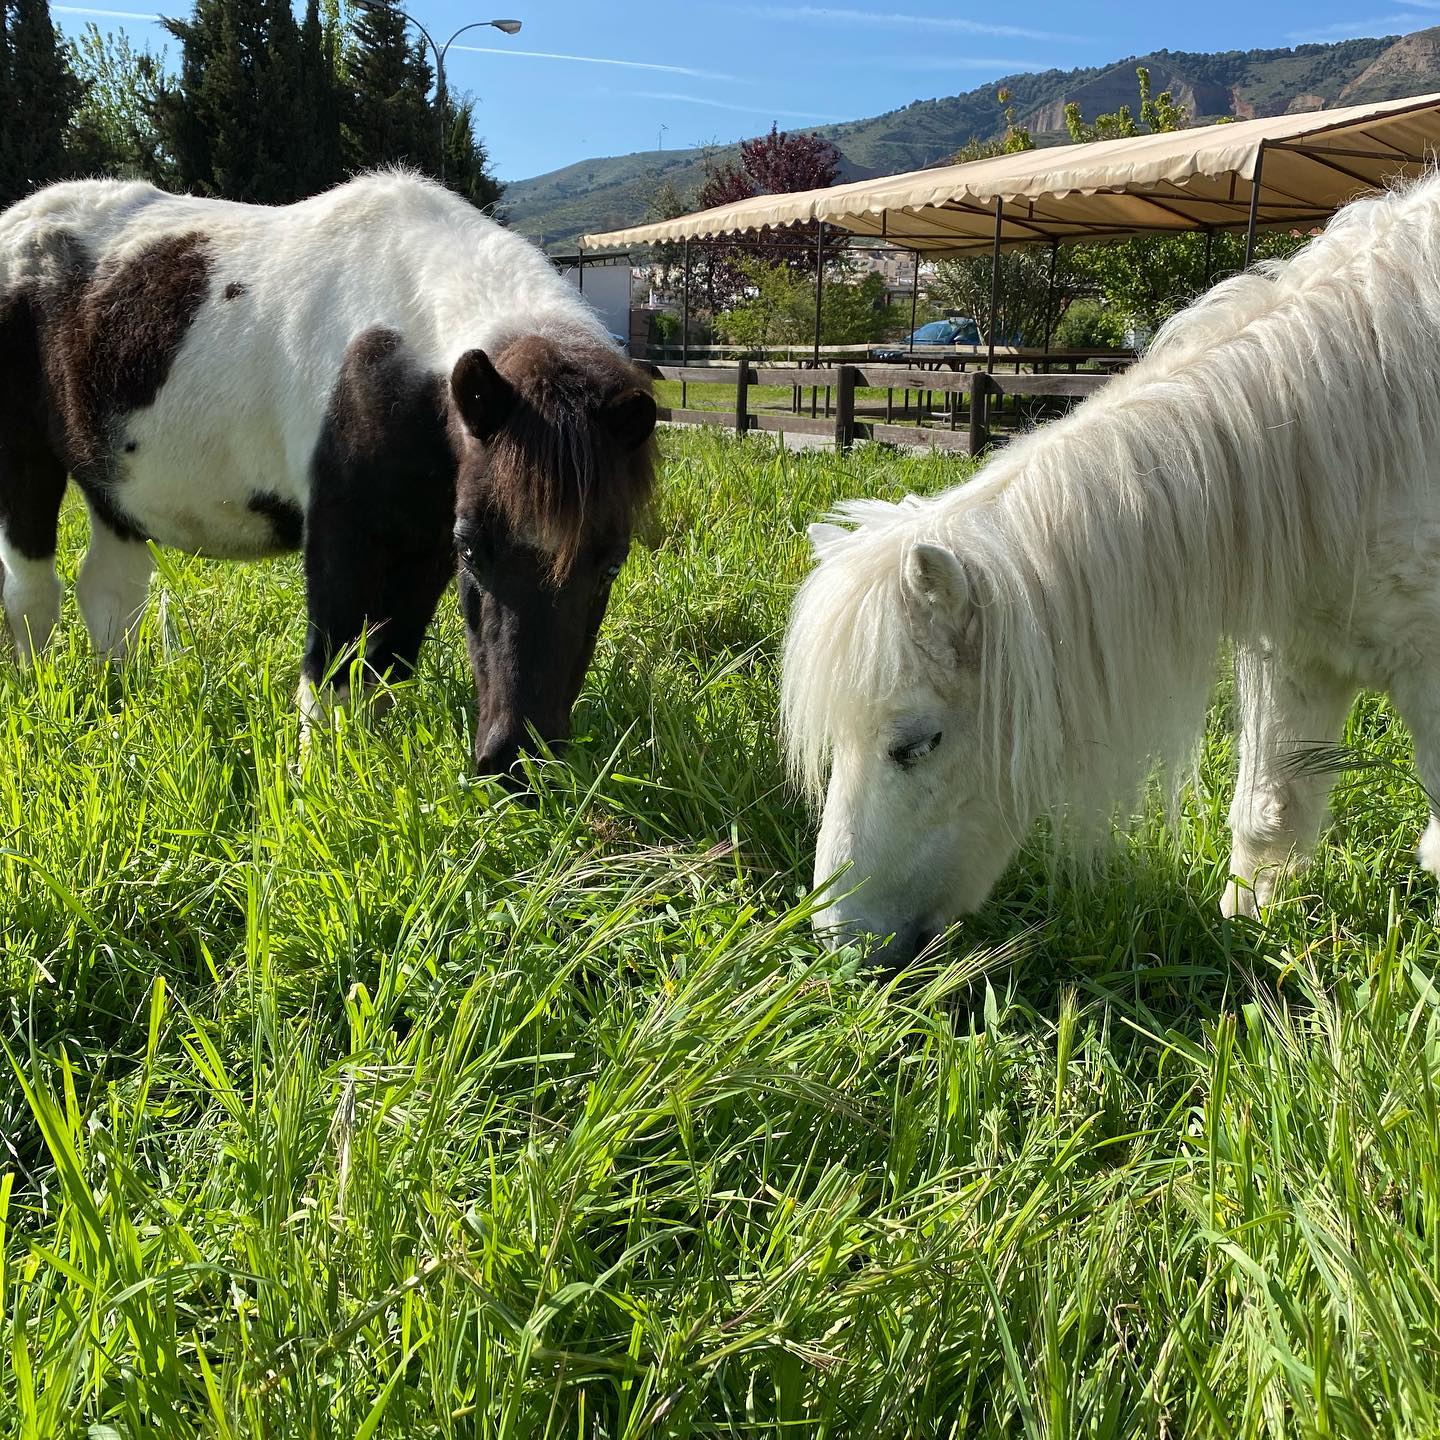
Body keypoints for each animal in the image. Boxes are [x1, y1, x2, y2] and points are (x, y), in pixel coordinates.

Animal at [1, 169, 659, 771]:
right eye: (474, 550)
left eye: (611, 565)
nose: (516, 761)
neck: (395, 350)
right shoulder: (347, 535)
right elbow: (333, 666)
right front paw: (321, 782)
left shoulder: (421, 545)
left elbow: (385, 663)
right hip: (26, 466)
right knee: (33, 592)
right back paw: (38, 696)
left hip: (113, 487)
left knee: (108, 592)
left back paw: (121, 701)